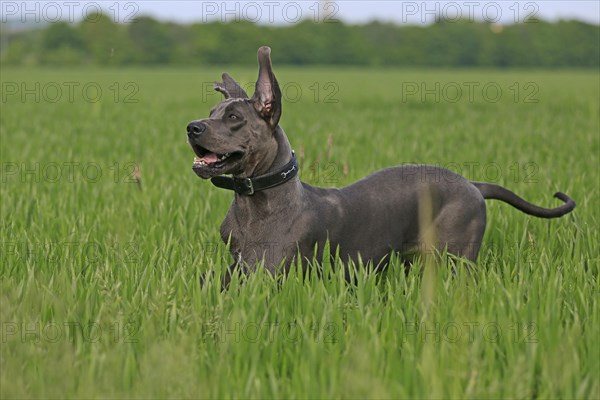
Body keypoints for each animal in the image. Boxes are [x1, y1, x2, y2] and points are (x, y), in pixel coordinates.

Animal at [188, 46, 576, 284]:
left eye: (234, 118)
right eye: (212, 112)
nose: (192, 127)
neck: (256, 201)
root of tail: (472, 184)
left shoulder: (272, 275)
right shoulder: (236, 271)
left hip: (456, 259)